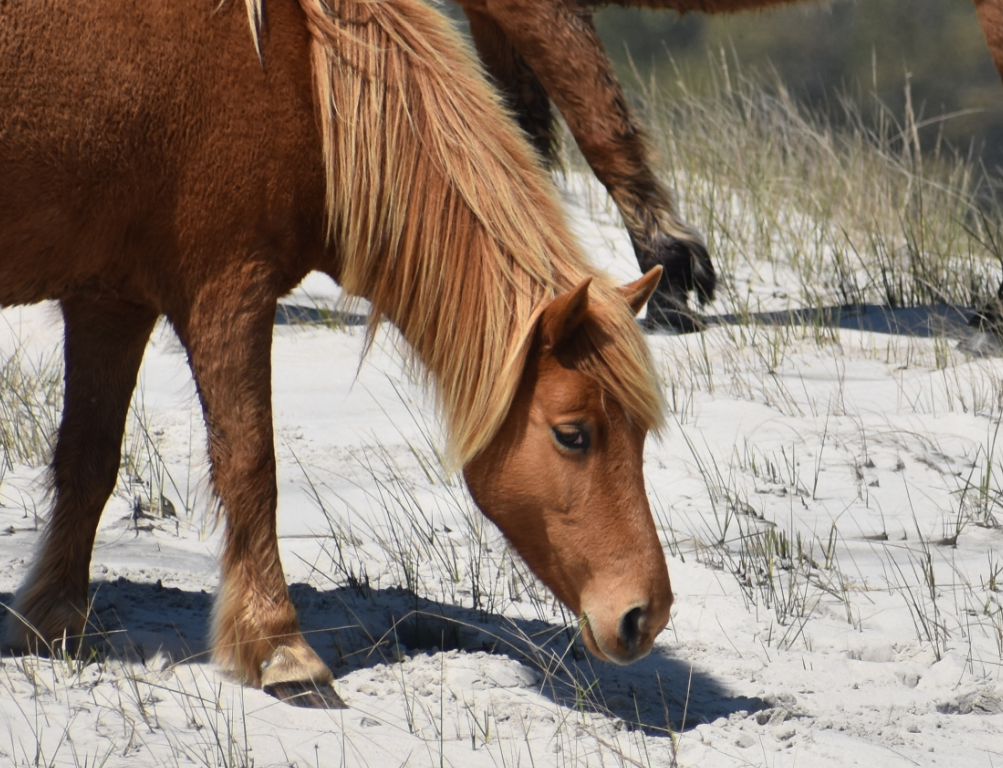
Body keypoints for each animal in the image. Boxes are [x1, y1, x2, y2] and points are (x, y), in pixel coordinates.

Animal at [0, 0, 673, 708]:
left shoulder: (110, 302)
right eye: (574, 435)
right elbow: (250, 467)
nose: (644, 614)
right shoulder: (228, 292)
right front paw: (282, 649)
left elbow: (89, 461)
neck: (298, 75)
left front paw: (52, 620)